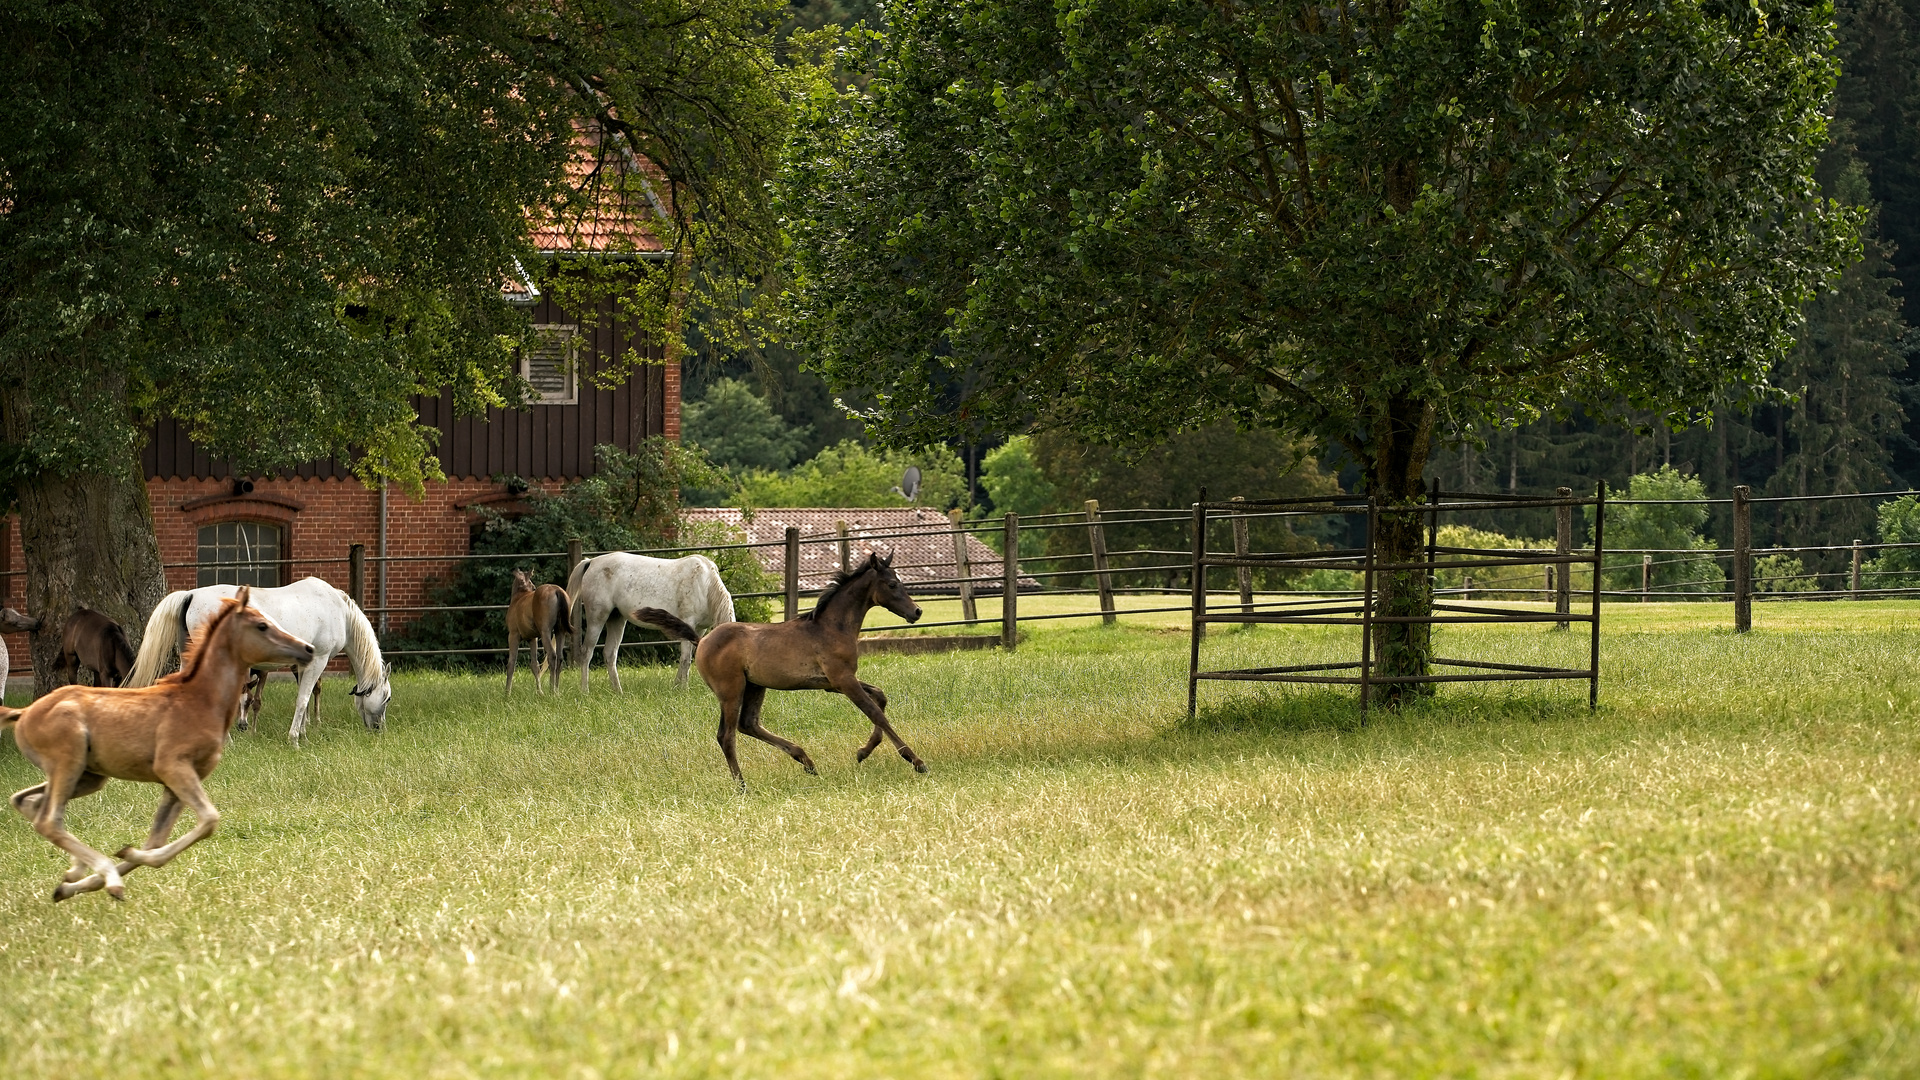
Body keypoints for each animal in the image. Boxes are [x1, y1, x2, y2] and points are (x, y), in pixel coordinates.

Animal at [0, 584, 311, 895]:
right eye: (262, 625)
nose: (308, 648)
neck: (199, 698)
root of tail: (25, 713)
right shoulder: (173, 768)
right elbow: (209, 821)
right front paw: (112, 869)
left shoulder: (179, 781)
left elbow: (156, 840)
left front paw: (90, 877)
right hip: (69, 762)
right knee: (49, 819)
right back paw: (101, 872)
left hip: (87, 776)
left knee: (28, 801)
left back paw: (75, 873)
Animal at [126, 572, 389, 737]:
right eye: (386, 698)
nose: (379, 729)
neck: (339, 610)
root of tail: (191, 595)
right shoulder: (319, 660)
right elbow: (303, 698)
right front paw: (294, 739)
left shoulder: (303, 665)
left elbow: (304, 698)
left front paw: (303, 733)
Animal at [564, 553, 737, 687]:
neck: (705, 584)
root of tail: (591, 561)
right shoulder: (688, 623)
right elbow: (685, 660)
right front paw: (683, 689)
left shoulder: (700, 629)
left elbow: (688, 660)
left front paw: (676, 686)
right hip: (597, 618)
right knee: (587, 653)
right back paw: (585, 691)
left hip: (616, 619)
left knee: (610, 654)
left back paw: (618, 691)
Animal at [629, 549, 929, 787]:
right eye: (892, 584)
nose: (916, 612)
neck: (831, 627)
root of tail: (701, 641)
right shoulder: (843, 680)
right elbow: (875, 712)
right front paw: (915, 760)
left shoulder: (833, 683)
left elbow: (880, 697)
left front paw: (863, 752)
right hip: (731, 690)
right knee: (726, 735)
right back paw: (742, 785)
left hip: (755, 686)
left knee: (748, 724)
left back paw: (805, 760)